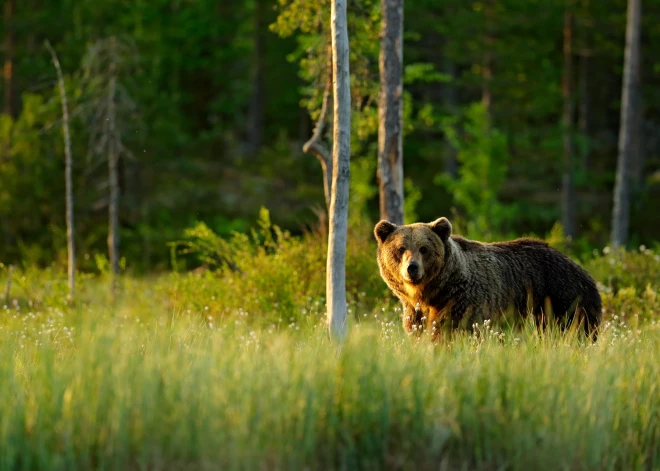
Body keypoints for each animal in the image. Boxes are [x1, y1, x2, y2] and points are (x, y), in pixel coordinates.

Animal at [374, 218, 600, 340]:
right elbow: (419, 331)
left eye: (424, 248)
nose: (412, 268)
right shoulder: (415, 312)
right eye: (400, 248)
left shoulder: (463, 303)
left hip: (562, 299)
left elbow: (450, 332)